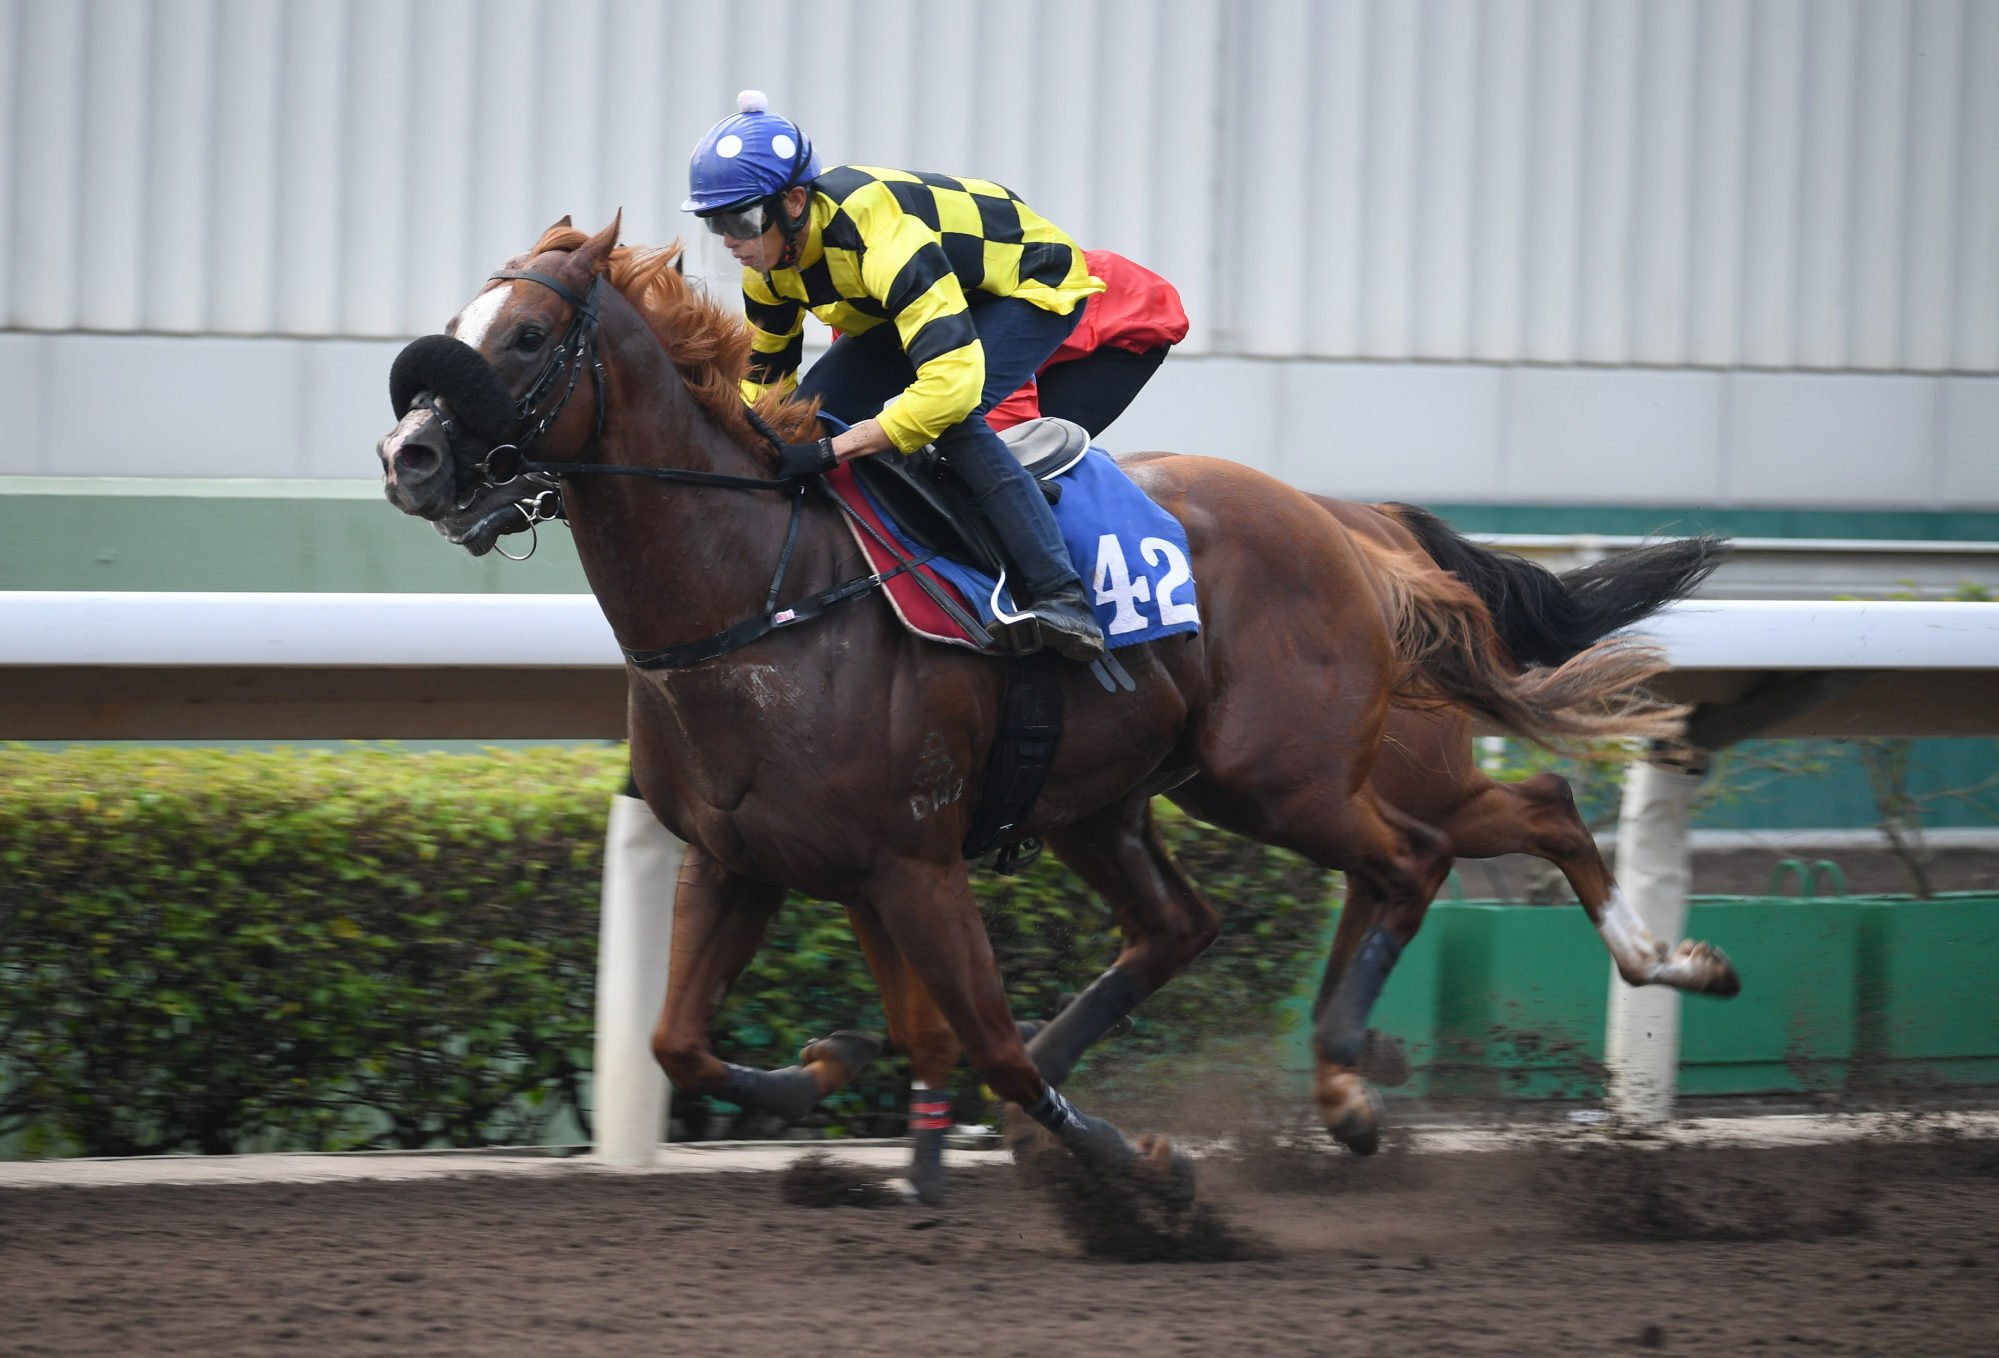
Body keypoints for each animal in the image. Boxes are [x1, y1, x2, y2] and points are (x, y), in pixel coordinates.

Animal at [375, 220, 1735, 1208]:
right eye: (459, 328)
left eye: (526, 335)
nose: (409, 458)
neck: (755, 593)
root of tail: (1346, 517)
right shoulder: (753, 855)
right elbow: (685, 1042)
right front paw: (840, 1076)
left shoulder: (912, 859)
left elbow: (985, 1038)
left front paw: (1137, 1169)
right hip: (1131, 795)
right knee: (1248, 900)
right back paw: (1649, 965)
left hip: (1280, 771)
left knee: (1421, 853)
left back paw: (1369, 1067)